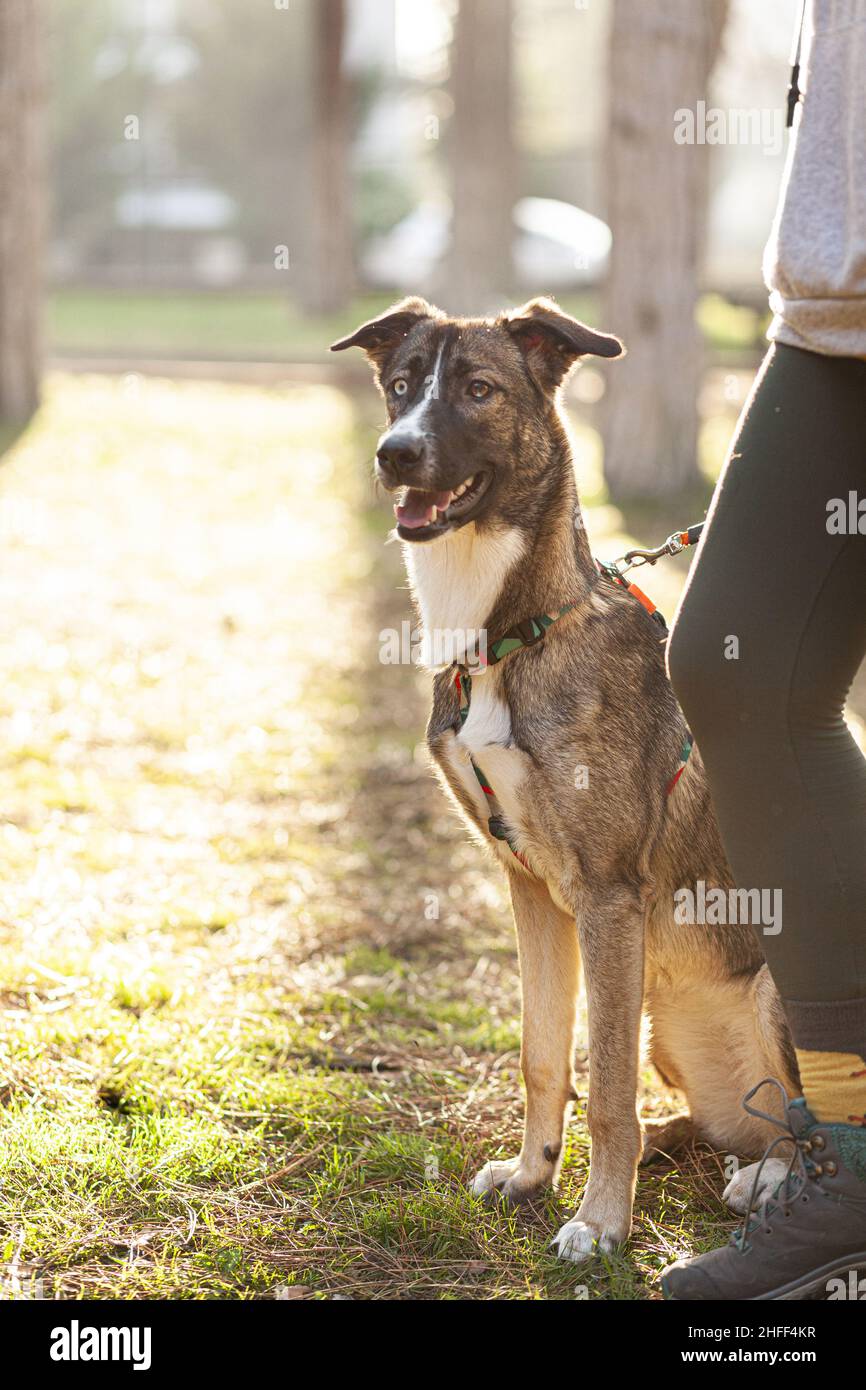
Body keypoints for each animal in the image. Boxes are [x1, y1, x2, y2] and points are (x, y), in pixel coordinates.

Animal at [332, 298, 800, 1267]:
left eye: (479, 389)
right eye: (399, 384)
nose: (394, 452)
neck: (512, 635)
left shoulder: (607, 895)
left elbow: (608, 1089)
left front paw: (600, 1221)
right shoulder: (531, 888)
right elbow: (543, 1056)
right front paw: (533, 1174)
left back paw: (773, 1181)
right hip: (669, 1024)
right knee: (718, 1122)